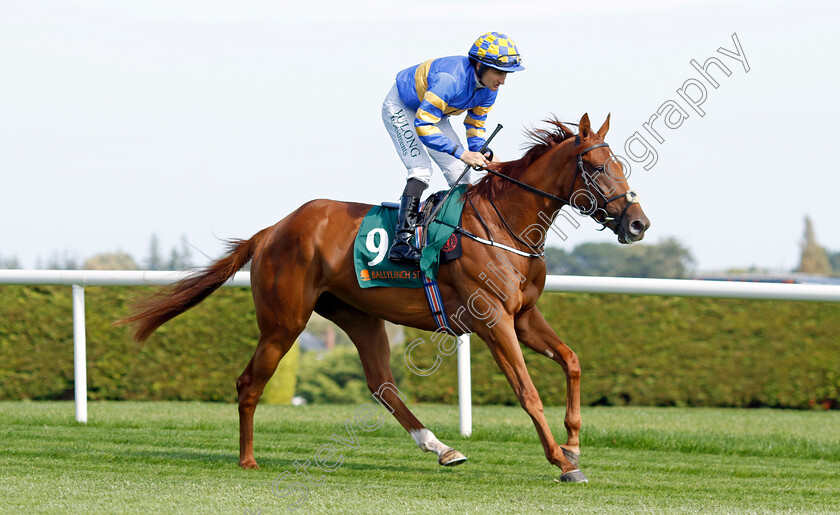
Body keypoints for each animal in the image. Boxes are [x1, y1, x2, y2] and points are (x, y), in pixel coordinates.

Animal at [121, 113, 648, 484]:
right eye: (596, 168)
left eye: (622, 165)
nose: (638, 223)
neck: (505, 225)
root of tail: (272, 230)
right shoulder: (493, 321)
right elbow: (528, 392)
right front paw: (563, 461)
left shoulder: (523, 316)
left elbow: (572, 360)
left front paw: (574, 442)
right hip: (284, 321)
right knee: (249, 383)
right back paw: (248, 460)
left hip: (360, 316)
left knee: (382, 385)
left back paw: (441, 447)